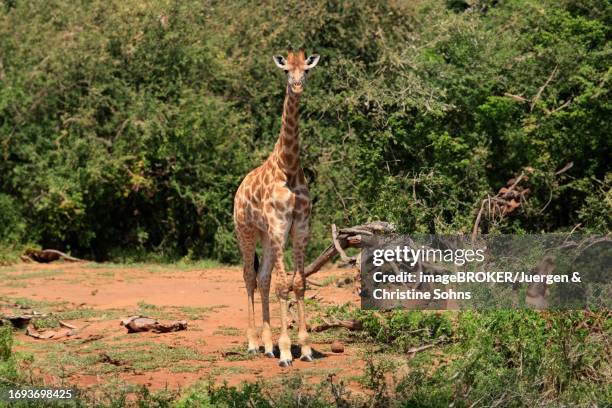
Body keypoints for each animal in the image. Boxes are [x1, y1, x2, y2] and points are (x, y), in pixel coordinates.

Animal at [233, 48, 320, 366]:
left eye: (305, 70)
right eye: (285, 71)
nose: (296, 86)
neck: (289, 167)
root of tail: (238, 190)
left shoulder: (300, 229)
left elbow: (299, 284)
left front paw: (304, 348)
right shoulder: (281, 226)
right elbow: (285, 285)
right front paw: (285, 352)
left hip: (267, 237)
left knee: (263, 278)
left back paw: (267, 345)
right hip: (245, 232)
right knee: (249, 277)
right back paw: (253, 344)